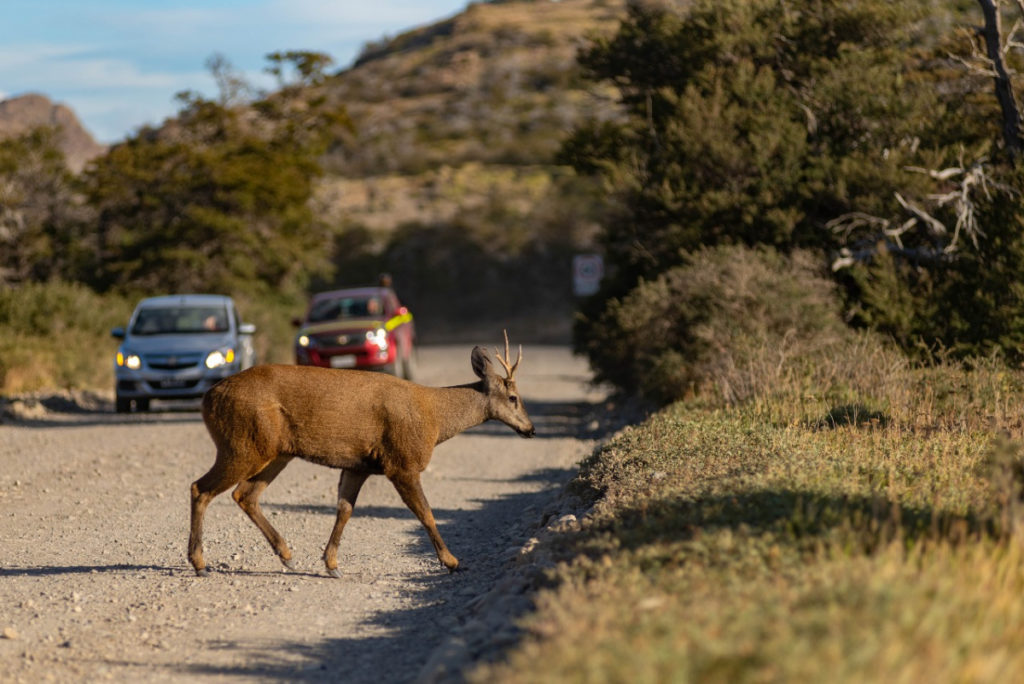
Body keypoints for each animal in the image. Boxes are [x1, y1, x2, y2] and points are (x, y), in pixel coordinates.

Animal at [188, 333, 536, 573]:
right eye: (514, 397)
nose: (531, 429)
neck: (435, 419)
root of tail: (207, 399)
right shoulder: (401, 461)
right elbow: (425, 512)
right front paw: (451, 561)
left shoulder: (359, 464)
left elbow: (345, 509)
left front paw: (331, 563)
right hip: (242, 443)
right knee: (200, 488)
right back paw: (199, 562)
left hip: (275, 452)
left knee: (244, 495)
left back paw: (286, 555)